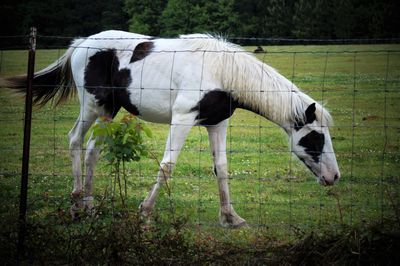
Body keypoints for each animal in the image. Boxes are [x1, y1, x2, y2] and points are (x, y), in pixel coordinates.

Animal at [0, 30, 340, 228]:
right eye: (316, 138)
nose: (333, 177)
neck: (220, 70)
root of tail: (81, 44)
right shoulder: (183, 119)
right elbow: (167, 166)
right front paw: (145, 213)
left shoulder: (217, 123)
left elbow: (221, 167)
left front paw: (230, 217)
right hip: (93, 106)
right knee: (74, 141)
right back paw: (75, 204)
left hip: (109, 111)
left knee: (92, 152)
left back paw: (91, 206)